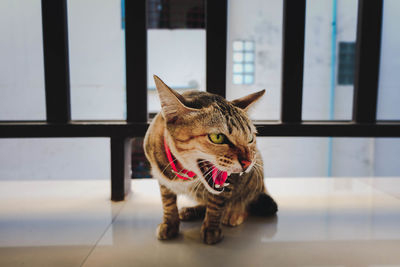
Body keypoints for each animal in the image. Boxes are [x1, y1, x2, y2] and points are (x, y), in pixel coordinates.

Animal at [144, 75, 278, 245]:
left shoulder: (229, 181)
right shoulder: (161, 179)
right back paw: (191, 210)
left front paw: (211, 229)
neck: (186, 174)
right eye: (217, 137)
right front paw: (170, 224)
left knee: (247, 201)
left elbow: (216, 205)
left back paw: (234, 213)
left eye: (250, 138)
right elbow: (168, 202)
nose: (247, 163)